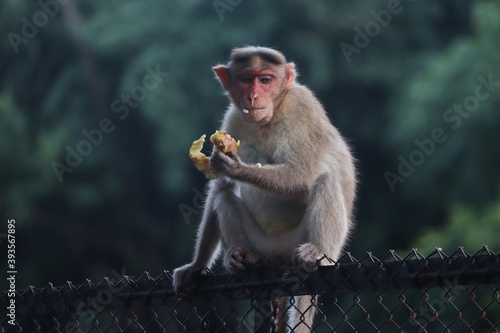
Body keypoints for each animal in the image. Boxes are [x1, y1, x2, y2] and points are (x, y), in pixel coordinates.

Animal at [173, 45, 356, 330]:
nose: (253, 96)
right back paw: (243, 258)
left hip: (300, 243)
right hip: (265, 246)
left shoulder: (302, 107)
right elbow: (221, 186)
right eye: (247, 79)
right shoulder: (234, 117)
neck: (271, 115)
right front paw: (196, 266)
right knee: (224, 197)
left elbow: (302, 176)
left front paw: (234, 166)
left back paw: (316, 252)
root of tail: (280, 257)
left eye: (266, 79)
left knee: (325, 181)